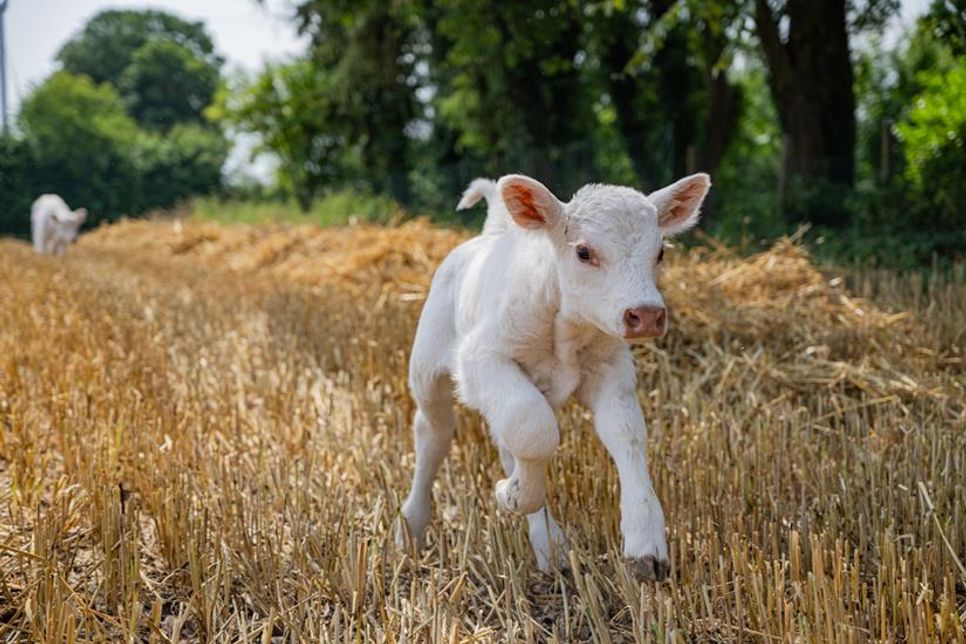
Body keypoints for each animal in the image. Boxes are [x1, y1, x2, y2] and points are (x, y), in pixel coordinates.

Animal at [398, 171, 712, 580]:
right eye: (583, 252)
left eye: (660, 252)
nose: (646, 314)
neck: (566, 328)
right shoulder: (482, 357)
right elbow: (535, 429)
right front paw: (511, 494)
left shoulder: (611, 369)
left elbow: (625, 434)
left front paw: (645, 542)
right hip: (428, 369)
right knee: (433, 432)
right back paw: (412, 525)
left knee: (504, 440)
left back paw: (549, 545)